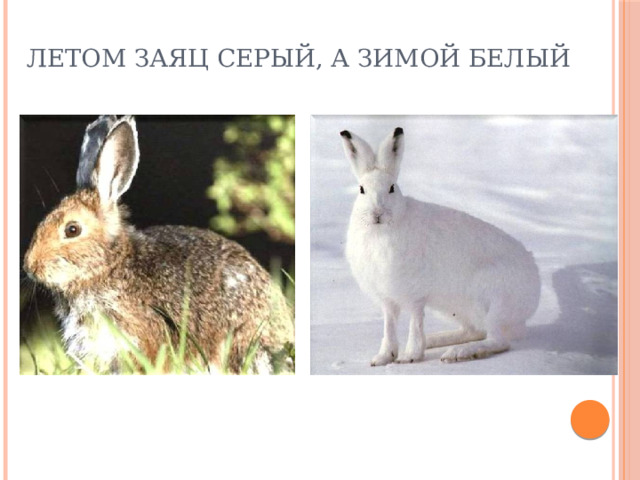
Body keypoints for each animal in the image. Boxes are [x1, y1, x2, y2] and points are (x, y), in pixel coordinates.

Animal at [340, 127, 541, 366]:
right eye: (361, 190)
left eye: (391, 188)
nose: (377, 214)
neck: (380, 231)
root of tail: (534, 294)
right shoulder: (387, 298)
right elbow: (389, 326)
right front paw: (381, 358)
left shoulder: (415, 293)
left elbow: (415, 322)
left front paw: (410, 356)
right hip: (456, 307)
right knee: (474, 330)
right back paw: (437, 340)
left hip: (493, 298)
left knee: (497, 340)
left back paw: (460, 353)